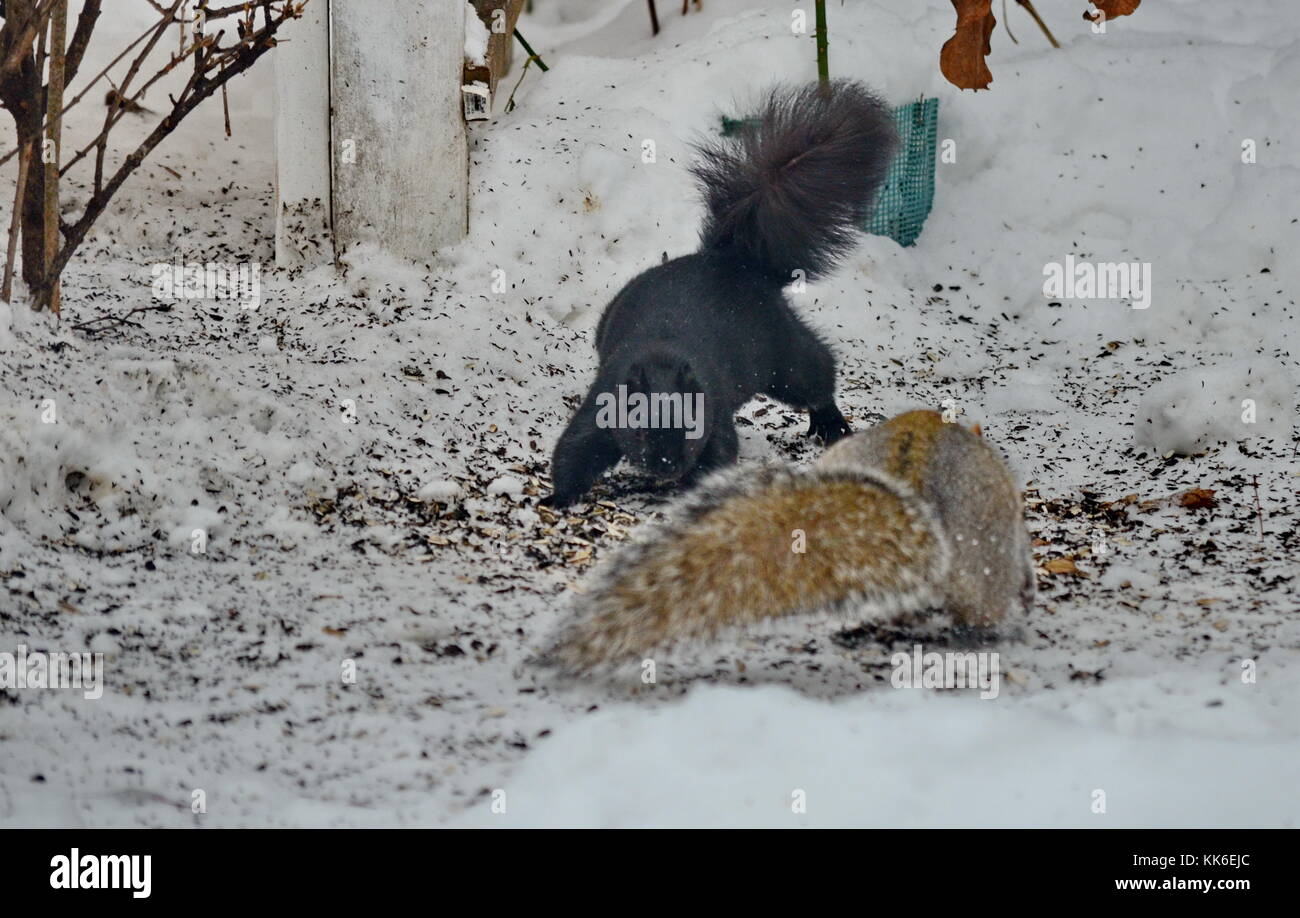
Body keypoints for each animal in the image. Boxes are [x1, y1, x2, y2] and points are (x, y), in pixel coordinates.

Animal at [542, 80, 898, 507]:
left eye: (692, 426)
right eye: (639, 429)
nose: (668, 468)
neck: (661, 360)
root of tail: (734, 261)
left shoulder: (714, 410)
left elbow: (719, 456)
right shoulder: (604, 402)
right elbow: (574, 450)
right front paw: (556, 498)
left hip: (781, 351)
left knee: (814, 374)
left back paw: (830, 421)